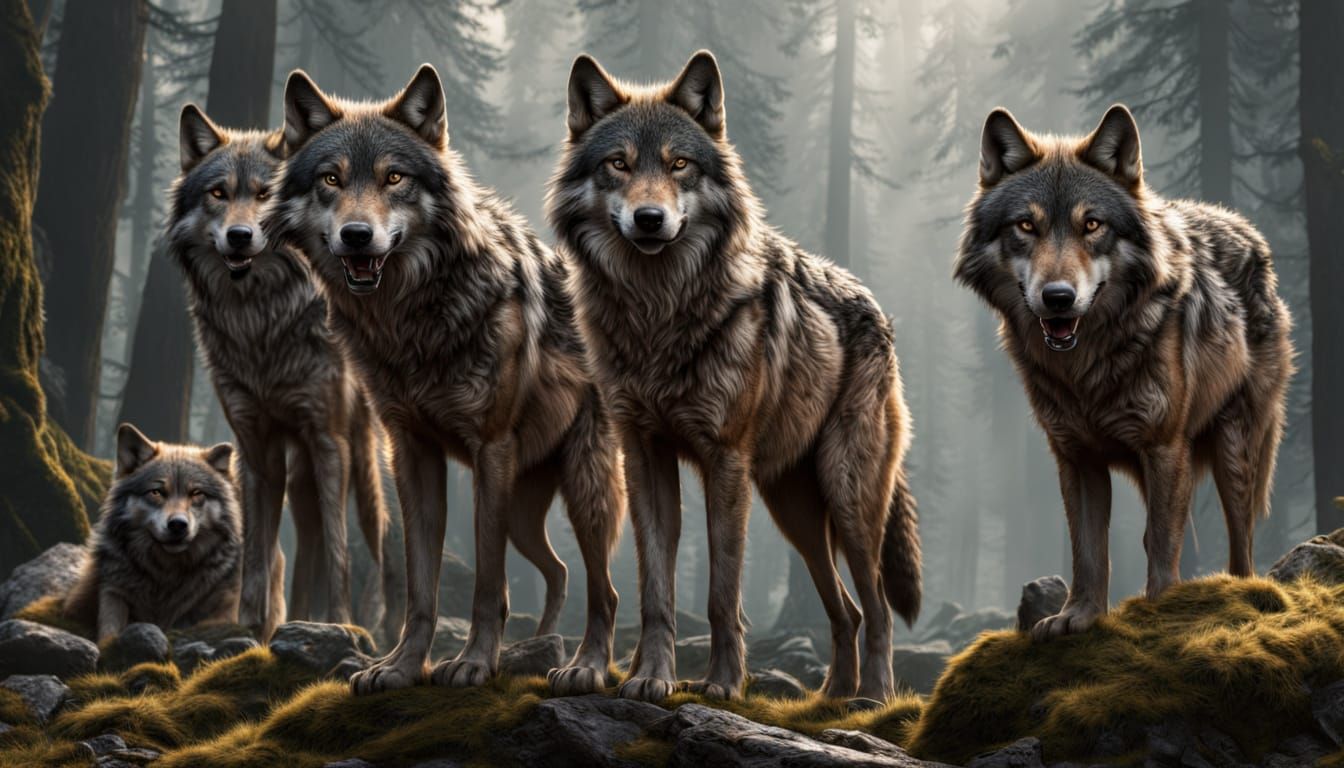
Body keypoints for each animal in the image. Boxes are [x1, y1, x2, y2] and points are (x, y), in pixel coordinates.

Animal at [63, 424, 244, 642]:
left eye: (196, 493)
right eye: (157, 492)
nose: (178, 525)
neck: (166, 574)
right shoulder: (113, 593)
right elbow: (109, 634)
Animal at [170, 104, 397, 642]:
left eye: (264, 195)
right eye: (218, 193)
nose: (239, 236)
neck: (260, 322)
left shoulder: (329, 438)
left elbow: (339, 549)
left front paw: (342, 623)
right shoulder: (255, 446)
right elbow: (259, 548)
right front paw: (250, 626)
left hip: (361, 462)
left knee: (375, 539)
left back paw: (378, 627)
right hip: (299, 474)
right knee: (308, 538)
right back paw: (298, 618)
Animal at [264, 64, 626, 696]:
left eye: (394, 178)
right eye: (332, 179)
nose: (357, 235)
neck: (412, 320)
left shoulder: (490, 451)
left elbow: (487, 584)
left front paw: (476, 663)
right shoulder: (410, 453)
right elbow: (419, 589)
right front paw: (402, 668)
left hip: (586, 492)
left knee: (604, 589)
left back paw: (584, 666)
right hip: (527, 515)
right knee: (558, 571)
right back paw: (540, 645)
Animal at [548, 51, 923, 702]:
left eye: (680, 164)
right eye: (619, 164)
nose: (650, 219)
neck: (658, 311)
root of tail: (876, 306)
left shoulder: (724, 460)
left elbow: (723, 592)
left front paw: (722, 684)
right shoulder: (643, 455)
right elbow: (656, 588)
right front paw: (651, 678)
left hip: (846, 494)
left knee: (876, 607)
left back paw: (873, 697)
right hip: (794, 510)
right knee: (846, 610)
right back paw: (832, 696)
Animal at [956, 105, 1293, 639]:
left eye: (1092, 224)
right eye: (1026, 226)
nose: (1058, 298)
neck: (1087, 366)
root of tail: (1244, 227)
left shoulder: (1164, 446)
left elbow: (1161, 540)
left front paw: (1159, 612)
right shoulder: (1076, 458)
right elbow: (1089, 549)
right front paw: (1079, 615)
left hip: (1235, 448)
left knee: (1240, 540)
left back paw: (1241, 593)